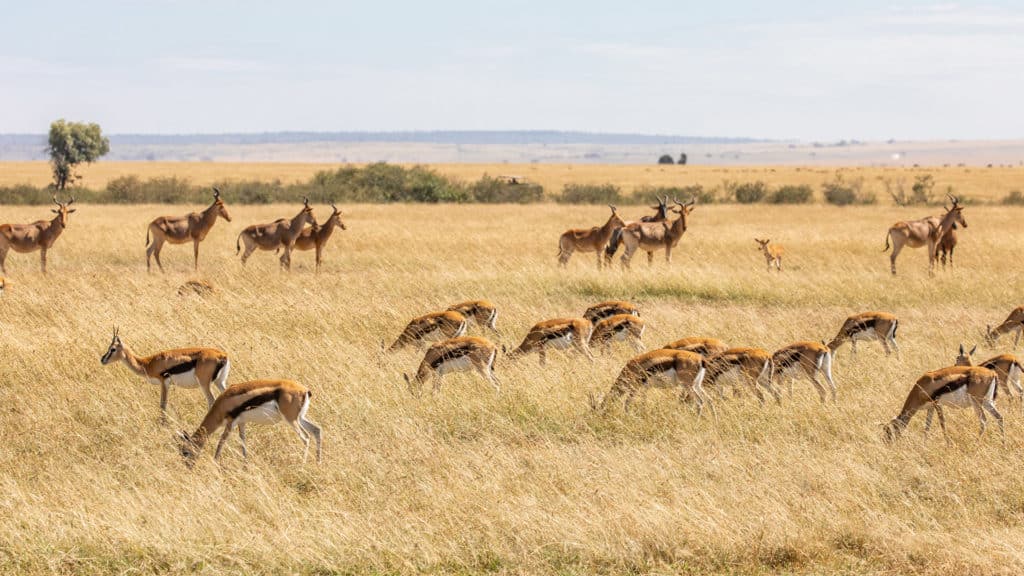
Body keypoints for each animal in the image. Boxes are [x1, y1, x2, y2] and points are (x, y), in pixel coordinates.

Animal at [99, 328, 230, 415]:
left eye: (113, 349)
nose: (102, 359)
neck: (148, 363)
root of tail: (222, 355)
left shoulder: (164, 382)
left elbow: (163, 405)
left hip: (204, 384)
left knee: (211, 401)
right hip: (219, 382)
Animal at [178, 379, 322, 466]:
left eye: (185, 452)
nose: (188, 466)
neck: (223, 404)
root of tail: (305, 390)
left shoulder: (231, 423)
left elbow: (221, 441)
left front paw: (215, 462)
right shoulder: (242, 423)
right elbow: (243, 440)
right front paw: (245, 464)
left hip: (291, 420)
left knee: (306, 438)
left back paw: (302, 465)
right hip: (300, 418)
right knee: (317, 430)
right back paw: (317, 463)